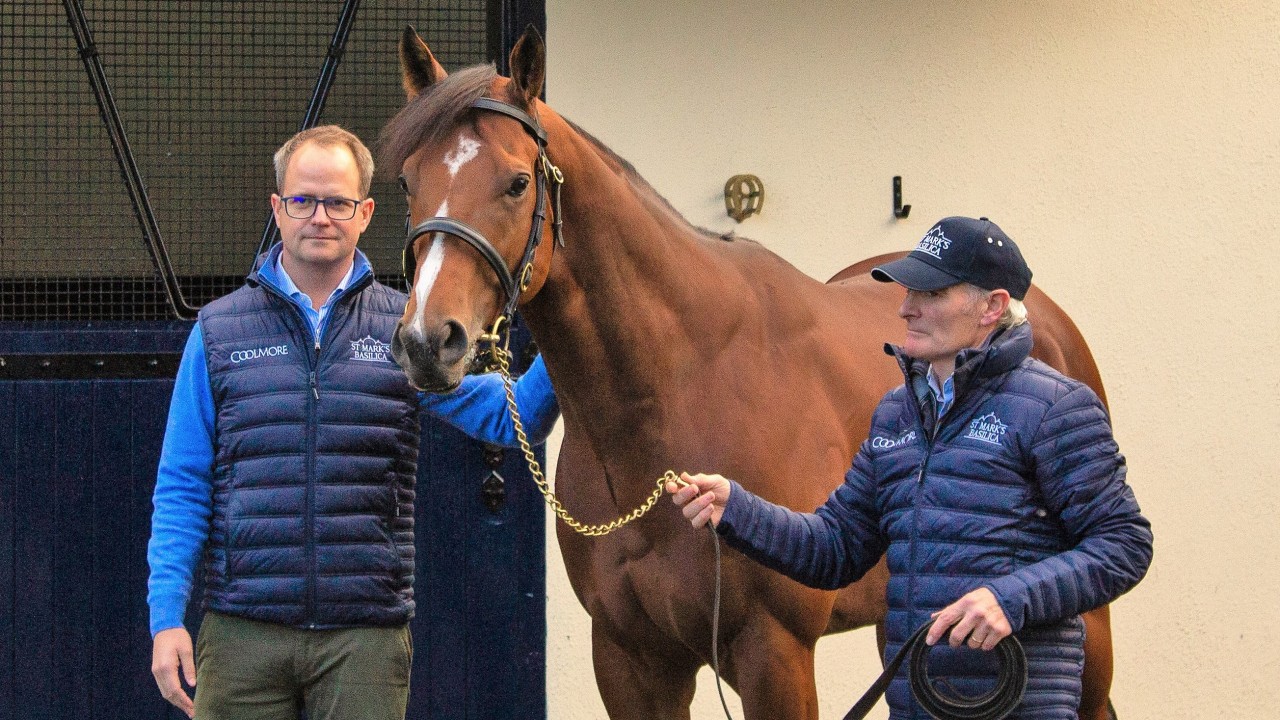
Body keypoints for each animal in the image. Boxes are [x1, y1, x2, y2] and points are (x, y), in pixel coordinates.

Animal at [381, 26, 1117, 720]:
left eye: (516, 182)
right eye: (409, 183)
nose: (428, 341)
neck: (677, 392)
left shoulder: (774, 652)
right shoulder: (629, 658)